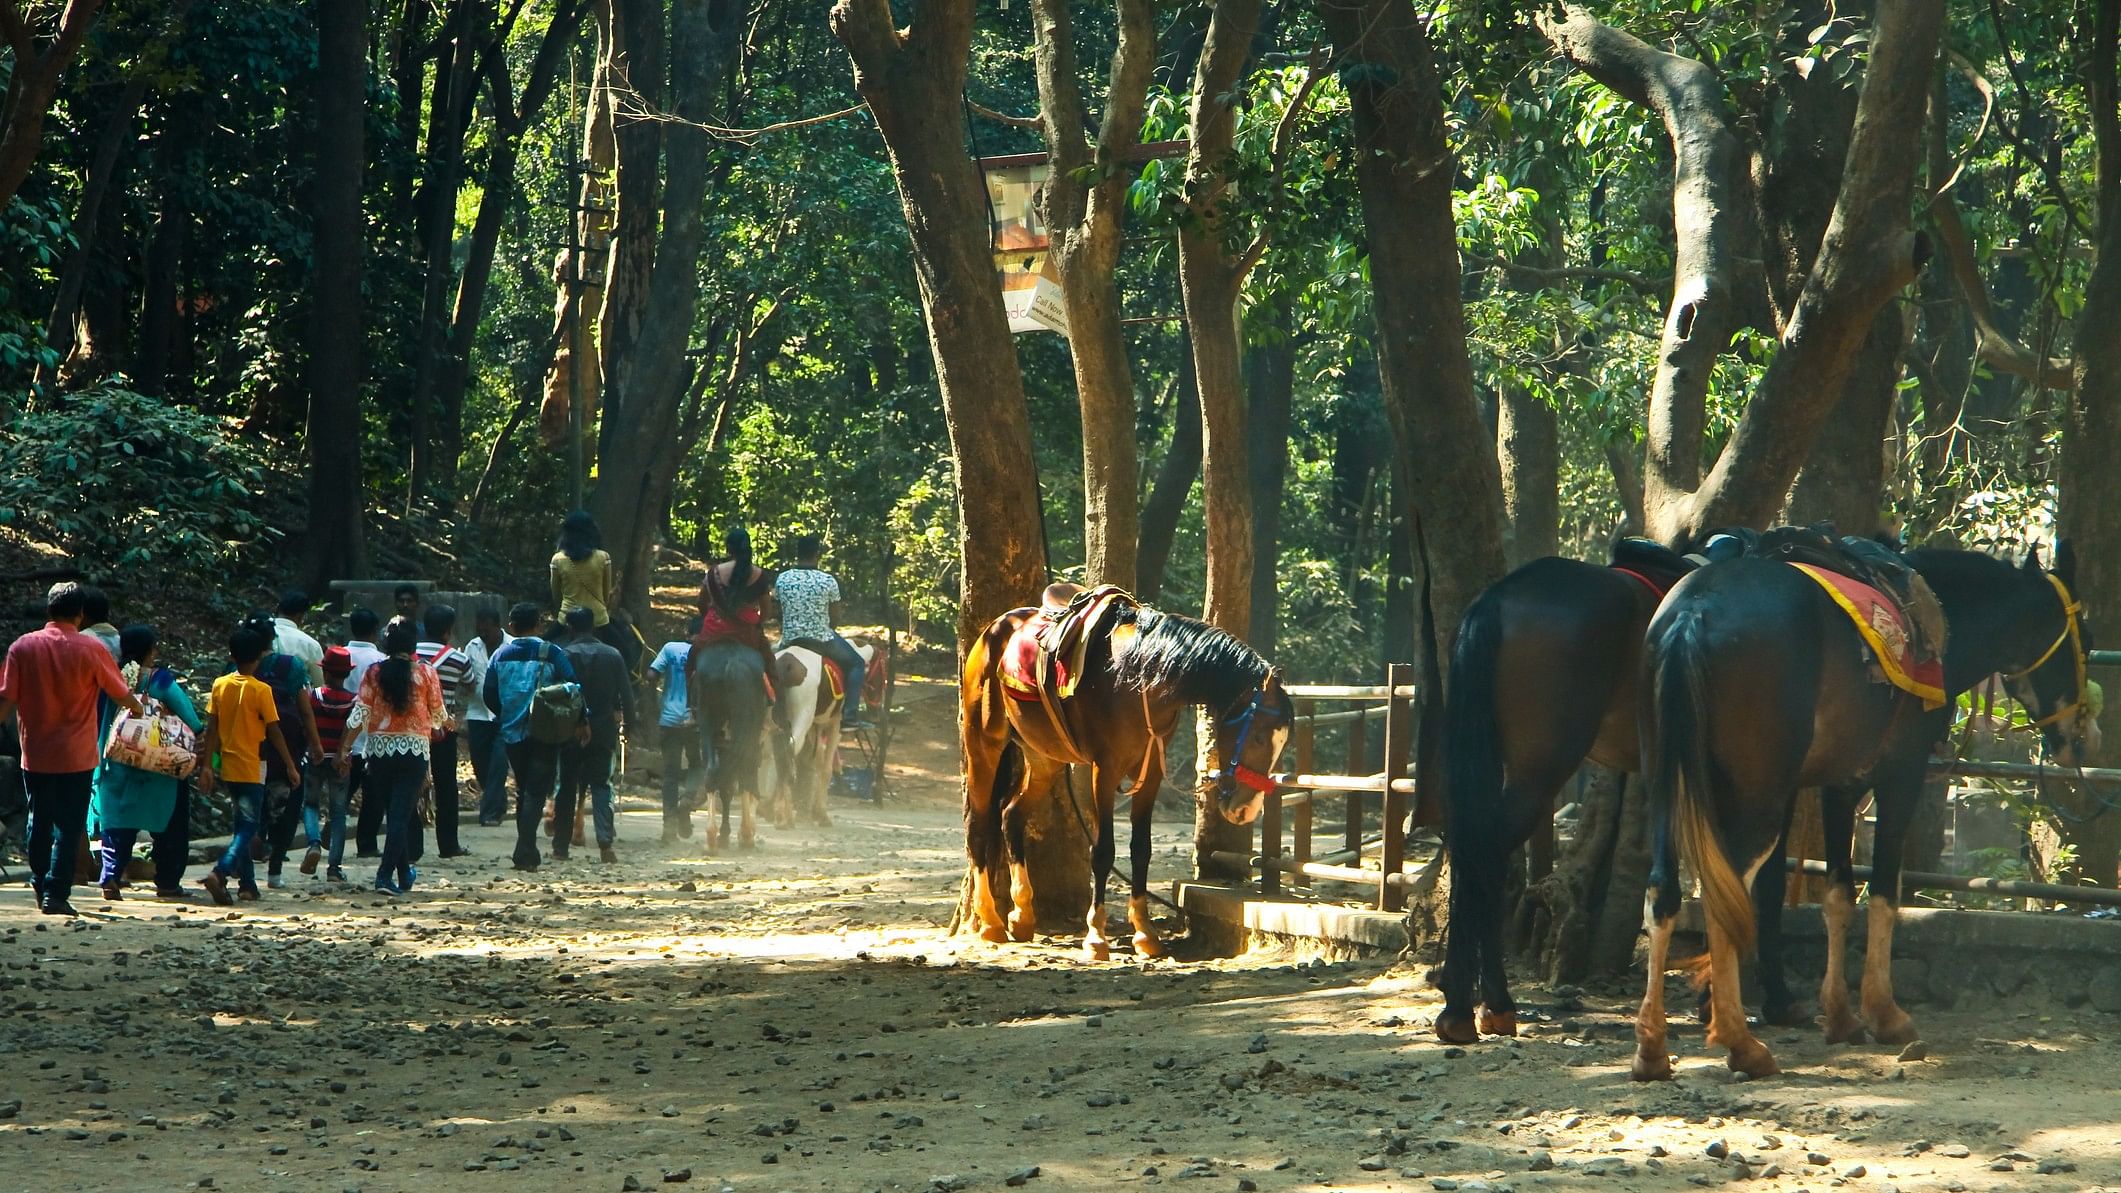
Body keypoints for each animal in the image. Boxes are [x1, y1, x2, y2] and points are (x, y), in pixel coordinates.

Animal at [962, 585, 1289, 955]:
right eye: (1259, 736)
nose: (1246, 809)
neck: (1139, 677)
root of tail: (995, 630)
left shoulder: (1152, 774)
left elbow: (1141, 849)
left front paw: (1145, 933)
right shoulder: (1105, 770)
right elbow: (1103, 851)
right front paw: (1096, 936)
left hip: (1043, 757)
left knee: (1010, 815)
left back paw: (1022, 915)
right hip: (983, 743)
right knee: (978, 825)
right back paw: (990, 921)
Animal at [1637, 541, 2087, 1078]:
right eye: (2083, 642)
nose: (2083, 734)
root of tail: (1694, 611)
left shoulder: (1839, 786)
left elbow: (1837, 897)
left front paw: (1840, 1016)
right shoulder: (1899, 776)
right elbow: (1883, 894)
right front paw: (1883, 1013)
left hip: (1670, 787)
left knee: (1664, 892)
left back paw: (1653, 1048)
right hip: (1756, 800)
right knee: (1724, 896)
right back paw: (1741, 1044)